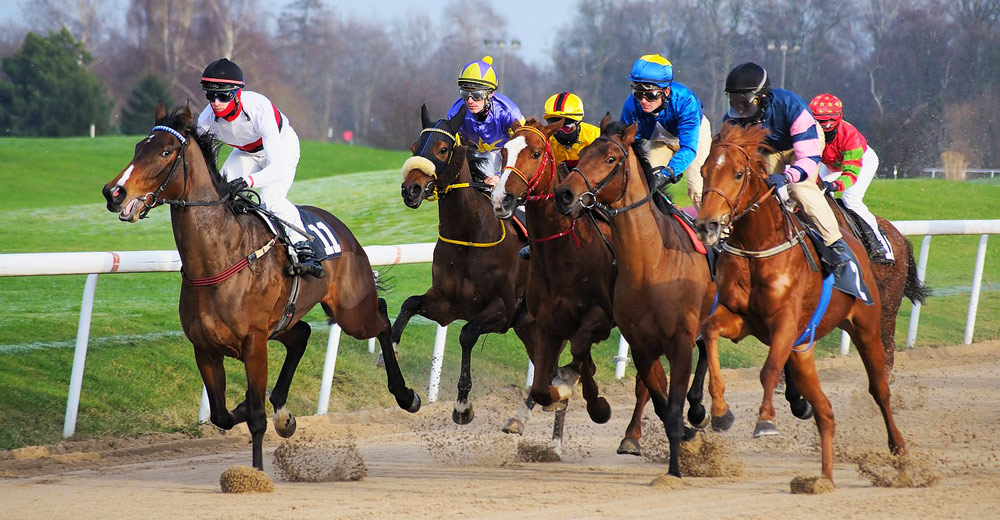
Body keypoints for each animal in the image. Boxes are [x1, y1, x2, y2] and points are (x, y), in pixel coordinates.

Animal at [101, 104, 420, 471]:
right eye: (139, 146)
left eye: (166, 152)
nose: (114, 192)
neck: (218, 259)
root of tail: (343, 229)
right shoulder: (205, 348)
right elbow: (223, 415)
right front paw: (260, 410)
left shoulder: (254, 344)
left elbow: (255, 417)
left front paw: (256, 471)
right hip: (285, 322)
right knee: (302, 334)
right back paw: (283, 409)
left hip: (351, 312)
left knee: (380, 317)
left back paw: (406, 394)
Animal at [396, 104, 536, 426]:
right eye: (414, 147)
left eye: (442, 148)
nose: (410, 190)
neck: (470, 235)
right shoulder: (446, 304)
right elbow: (408, 304)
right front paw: (392, 360)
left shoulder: (503, 310)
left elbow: (467, 334)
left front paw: (462, 406)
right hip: (529, 328)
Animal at [492, 117, 655, 454]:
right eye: (503, 151)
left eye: (536, 153)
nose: (502, 200)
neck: (564, 252)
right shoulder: (547, 324)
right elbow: (543, 385)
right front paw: (560, 390)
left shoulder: (599, 318)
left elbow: (580, 355)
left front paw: (597, 405)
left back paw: (632, 436)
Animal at [552, 120, 717, 478]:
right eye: (582, 155)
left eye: (611, 158)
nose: (564, 194)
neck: (651, 263)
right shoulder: (641, 345)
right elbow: (661, 403)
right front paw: (685, 436)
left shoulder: (679, 341)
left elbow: (672, 404)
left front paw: (676, 469)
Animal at [693, 123, 907, 483]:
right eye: (704, 171)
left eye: (738, 173)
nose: (706, 225)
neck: (757, 247)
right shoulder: (739, 317)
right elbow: (708, 332)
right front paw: (721, 412)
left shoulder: (785, 321)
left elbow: (767, 370)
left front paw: (766, 420)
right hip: (803, 347)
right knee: (824, 408)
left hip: (868, 325)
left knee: (880, 387)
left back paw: (899, 448)